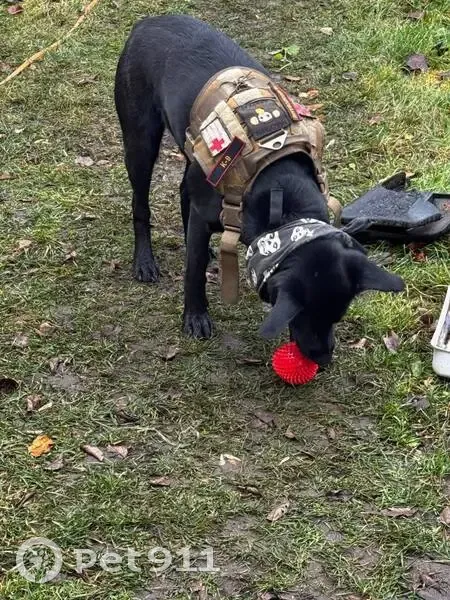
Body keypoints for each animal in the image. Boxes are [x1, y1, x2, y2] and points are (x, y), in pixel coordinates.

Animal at [115, 14, 404, 367]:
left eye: (337, 316)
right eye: (301, 314)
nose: (322, 361)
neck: (282, 198)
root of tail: (147, 21)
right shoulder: (202, 213)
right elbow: (193, 270)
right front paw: (195, 316)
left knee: (184, 190)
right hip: (140, 142)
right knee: (140, 205)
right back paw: (144, 262)